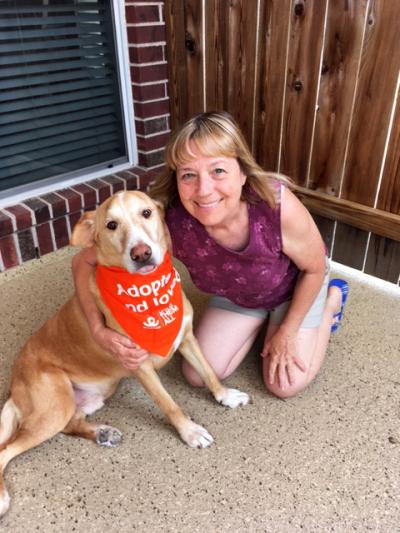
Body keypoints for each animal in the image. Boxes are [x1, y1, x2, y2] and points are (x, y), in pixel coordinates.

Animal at [0, 191, 250, 516]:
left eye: (146, 213)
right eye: (111, 225)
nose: (141, 253)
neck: (147, 291)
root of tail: (13, 385)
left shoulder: (187, 339)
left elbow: (209, 373)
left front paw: (225, 395)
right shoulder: (141, 366)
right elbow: (170, 404)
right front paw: (190, 432)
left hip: (91, 397)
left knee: (70, 425)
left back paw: (101, 433)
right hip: (54, 406)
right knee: (6, 449)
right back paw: (2, 496)